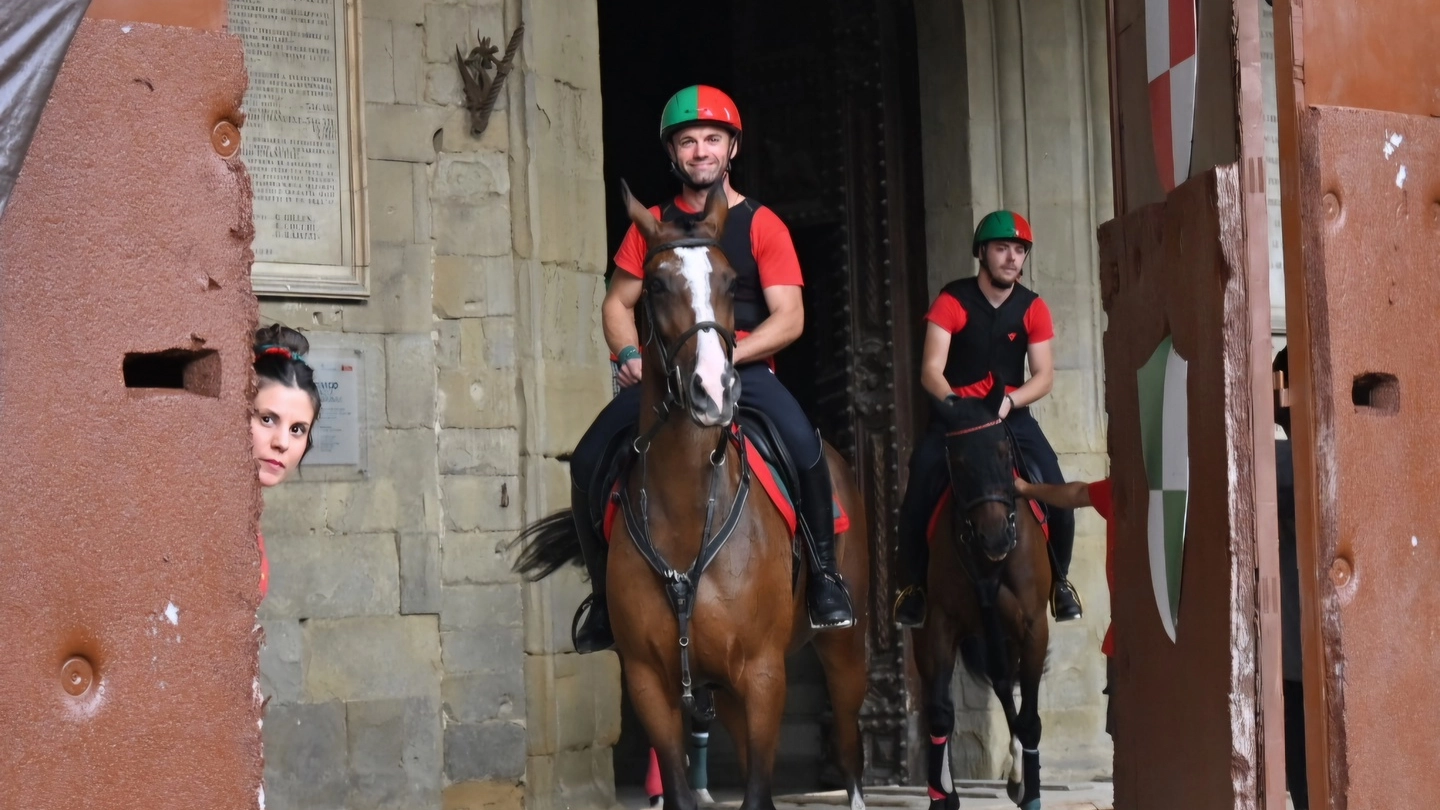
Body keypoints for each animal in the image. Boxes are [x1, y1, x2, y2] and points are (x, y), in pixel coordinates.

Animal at [915, 397, 1054, 807]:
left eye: (1004, 450)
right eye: (958, 461)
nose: (995, 538)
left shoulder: (1033, 626)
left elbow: (1029, 718)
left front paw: (1031, 791)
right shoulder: (940, 623)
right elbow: (941, 712)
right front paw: (942, 792)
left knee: (1008, 688)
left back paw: (1020, 776)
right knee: (998, 685)